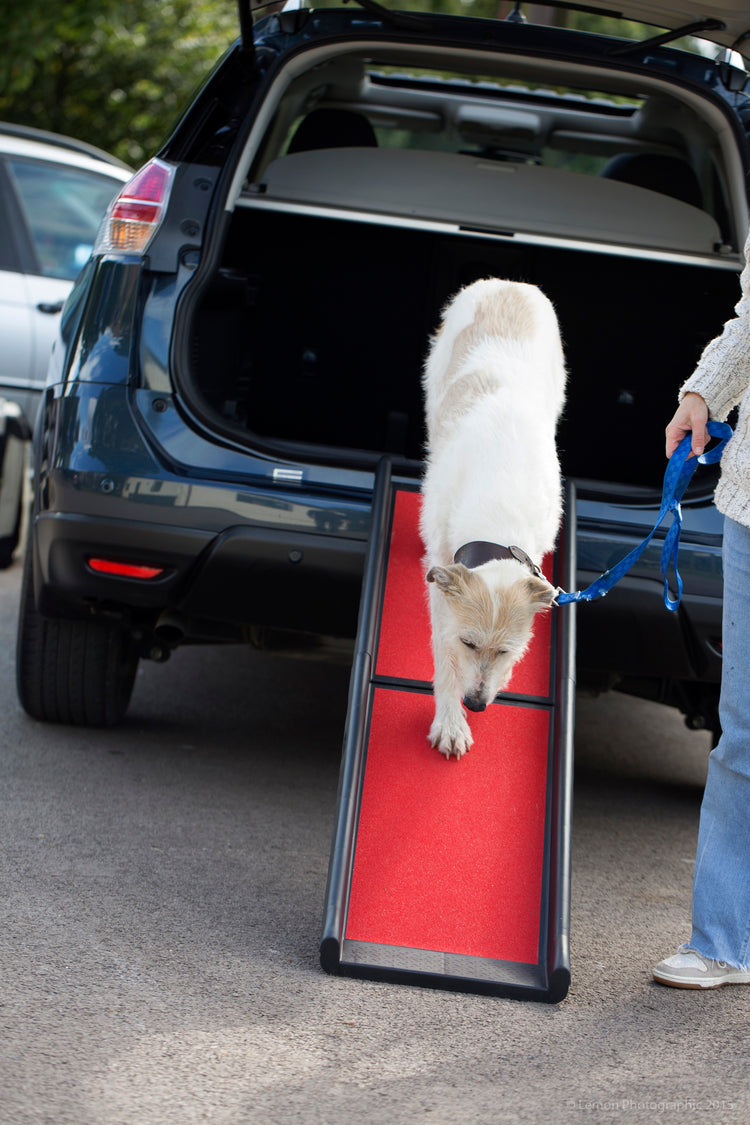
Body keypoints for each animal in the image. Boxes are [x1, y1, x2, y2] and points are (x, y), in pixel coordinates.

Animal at [420, 276, 566, 760]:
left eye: (505, 651)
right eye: (469, 642)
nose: (476, 704)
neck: (497, 521)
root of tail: (509, 284)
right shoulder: (442, 575)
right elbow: (443, 651)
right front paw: (450, 721)